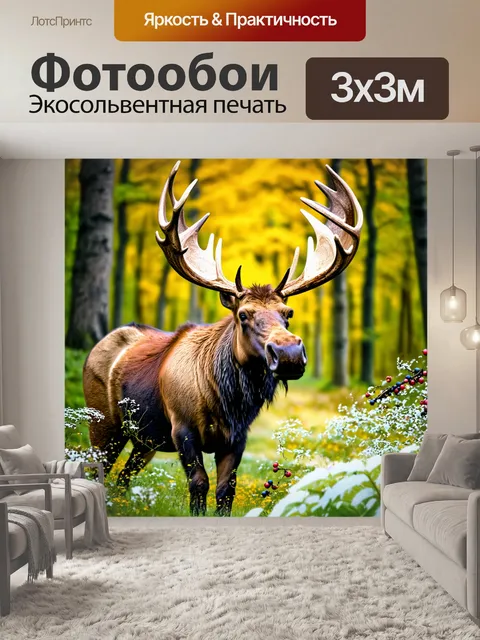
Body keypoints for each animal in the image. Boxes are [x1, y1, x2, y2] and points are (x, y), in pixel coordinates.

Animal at [83, 161, 363, 515]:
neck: (227, 403)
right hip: (102, 421)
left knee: (124, 476)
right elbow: (199, 484)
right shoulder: (182, 428)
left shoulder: (236, 437)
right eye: (243, 315)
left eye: (288, 312)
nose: (288, 353)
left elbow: (226, 489)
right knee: (96, 468)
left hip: (144, 439)